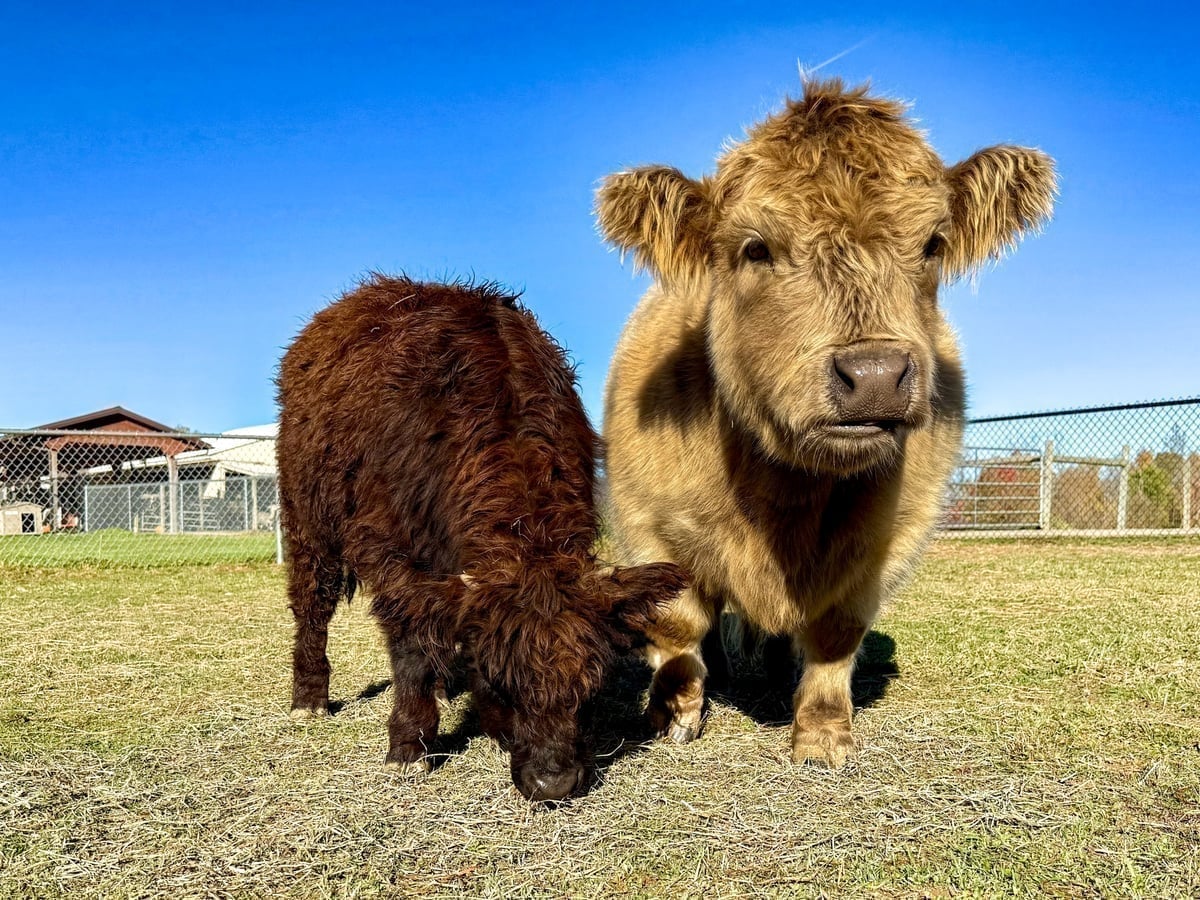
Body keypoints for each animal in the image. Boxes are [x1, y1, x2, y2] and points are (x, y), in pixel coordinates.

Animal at [276, 276, 687, 801]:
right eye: (499, 684)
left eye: (590, 687)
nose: (553, 783)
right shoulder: (394, 557)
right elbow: (411, 649)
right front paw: (408, 747)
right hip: (308, 522)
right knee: (313, 604)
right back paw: (309, 697)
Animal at [595, 79, 1056, 766]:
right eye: (755, 248)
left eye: (932, 244)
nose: (875, 375)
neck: (785, 495)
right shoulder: (646, 519)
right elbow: (678, 625)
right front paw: (673, 715)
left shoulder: (892, 536)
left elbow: (837, 631)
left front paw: (821, 735)